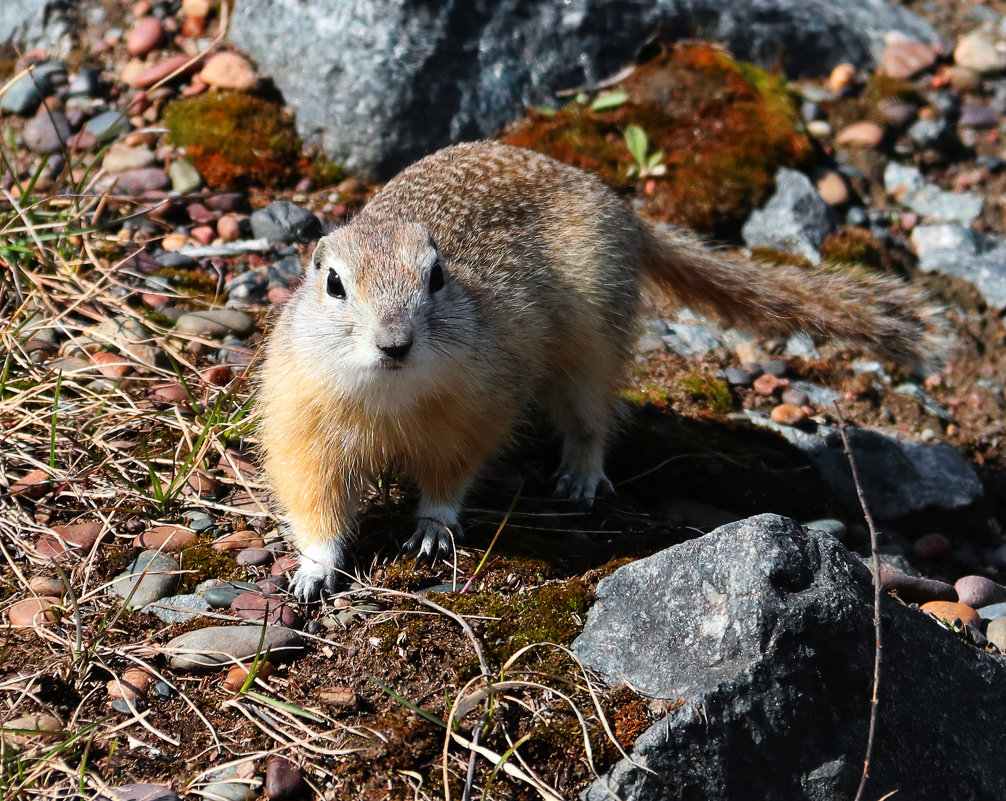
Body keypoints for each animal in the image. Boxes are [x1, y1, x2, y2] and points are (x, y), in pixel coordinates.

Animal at [261, 140, 941, 599]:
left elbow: (451, 477)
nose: (395, 344)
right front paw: (314, 570)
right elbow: (314, 499)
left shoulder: (477, 410)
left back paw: (580, 479)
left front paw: (431, 528)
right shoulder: (303, 420)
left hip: (594, 347)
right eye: (333, 284)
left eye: (436, 277)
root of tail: (617, 205)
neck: (391, 395)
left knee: (591, 419)